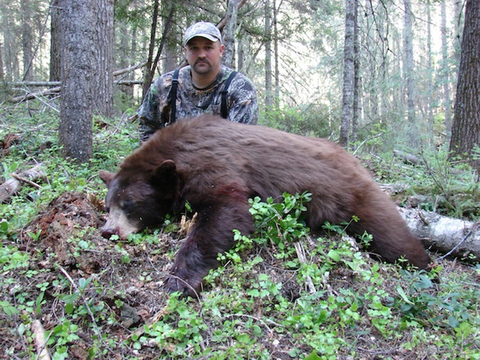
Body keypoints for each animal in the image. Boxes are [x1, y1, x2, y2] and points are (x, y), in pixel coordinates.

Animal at [100, 114, 432, 296]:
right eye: (108, 205)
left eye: (129, 204)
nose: (108, 231)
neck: (182, 153)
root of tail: (356, 160)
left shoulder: (215, 166)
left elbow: (229, 212)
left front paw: (178, 280)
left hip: (354, 196)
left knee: (390, 235)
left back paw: (427, 267)